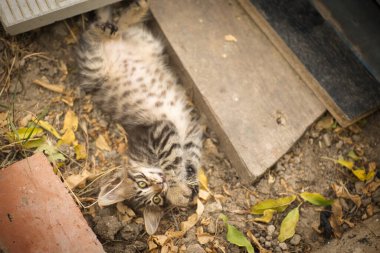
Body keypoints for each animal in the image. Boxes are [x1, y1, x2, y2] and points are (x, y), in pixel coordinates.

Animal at [75, 0, 203, 234]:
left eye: (142, 184)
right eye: (155, 199)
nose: (159, 185)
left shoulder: (175, 131)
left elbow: (184, 159)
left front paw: (183, 183)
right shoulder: (164, 129)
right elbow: (178, 159)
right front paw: (180, 190)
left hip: (122, 55)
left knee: (102, 29)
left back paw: (123, 18)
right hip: (97, 66)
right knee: (96, 32)